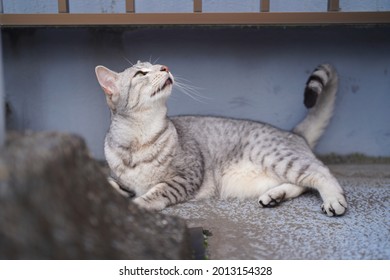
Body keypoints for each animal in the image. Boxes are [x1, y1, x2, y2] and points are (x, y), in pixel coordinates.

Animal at [95, 62, 348, 217]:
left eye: (156, 65)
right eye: (141, 73)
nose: (165, 67)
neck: (139, 139)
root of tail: (295, 133)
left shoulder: (186, 176)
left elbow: (157, 191)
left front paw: (137, 204)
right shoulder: (120, 180)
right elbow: (111, 183)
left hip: (277, 157)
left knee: (321, 173)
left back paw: (334, 200)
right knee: (302, 183)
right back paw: (274, 196)